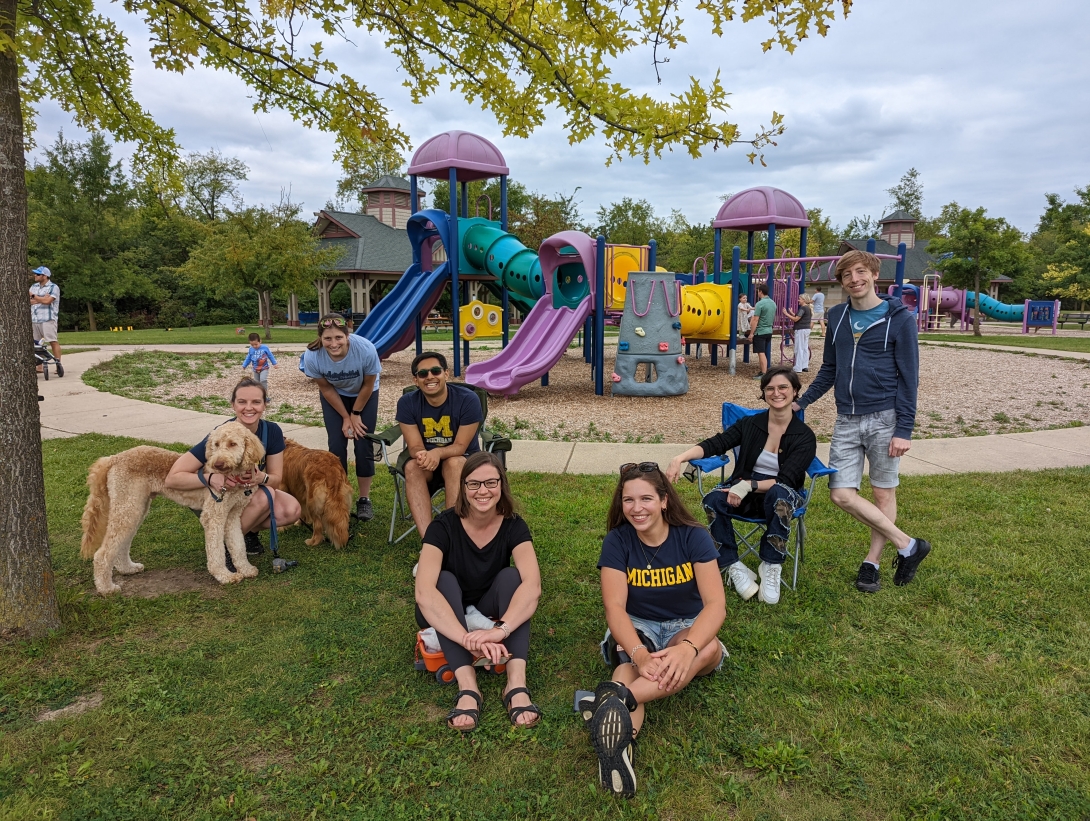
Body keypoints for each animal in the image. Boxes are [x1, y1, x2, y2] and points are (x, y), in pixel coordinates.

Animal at [81, 423, 265, 597]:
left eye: (233, 443)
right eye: (216, 444)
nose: (217, 464)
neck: (233, 477)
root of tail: (113, 458)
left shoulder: (233, 515)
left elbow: (238, 544)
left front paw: (246, 569)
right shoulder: (213, 516)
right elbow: (216, 550)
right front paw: (224, 575)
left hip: (136, 508)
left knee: (122, 542)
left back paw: (128, 568)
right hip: (127, 506)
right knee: (102, 554)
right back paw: (106, 588)